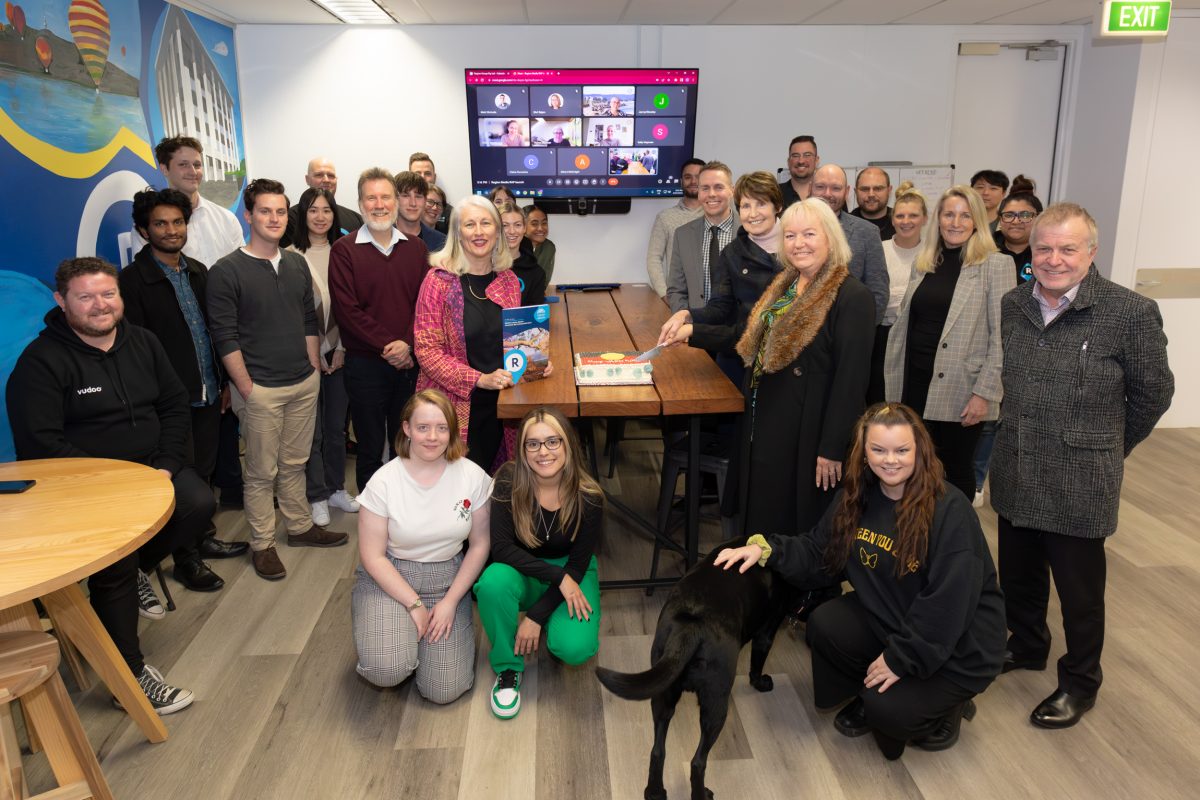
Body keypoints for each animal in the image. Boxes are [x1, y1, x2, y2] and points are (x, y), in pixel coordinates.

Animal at [595, 542, 801, 796]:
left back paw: (655, 791)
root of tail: (691, 627)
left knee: (657, 751)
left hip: (663, 692)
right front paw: (761, 682)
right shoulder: (767, 632)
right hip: (716, 703)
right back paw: (702, 793)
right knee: (698, 762)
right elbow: (757, 664)